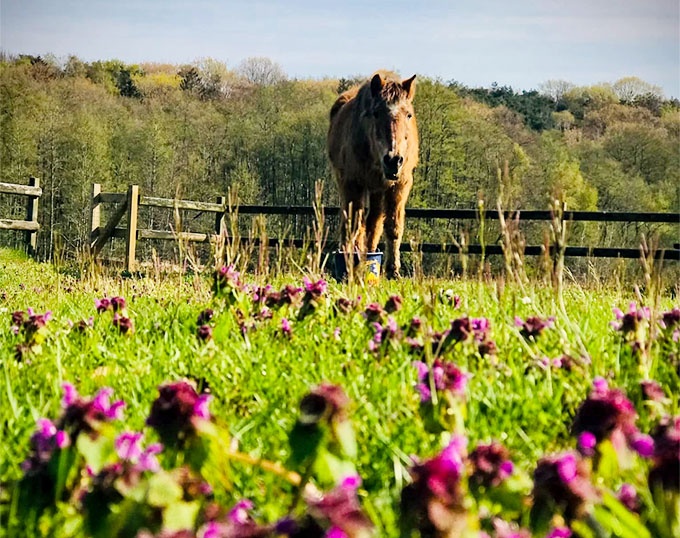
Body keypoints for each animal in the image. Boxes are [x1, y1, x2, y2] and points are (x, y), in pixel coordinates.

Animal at [327, 70, 419, 279]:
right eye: (376, 113)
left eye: (408, 114)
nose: (393, 160)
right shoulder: (353, 183)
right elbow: (354, 225)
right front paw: (350, 265)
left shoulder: (400, 185)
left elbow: (392, 226)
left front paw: (393, 270)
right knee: (353, 223)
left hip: (377, 190)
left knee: (374, 223)